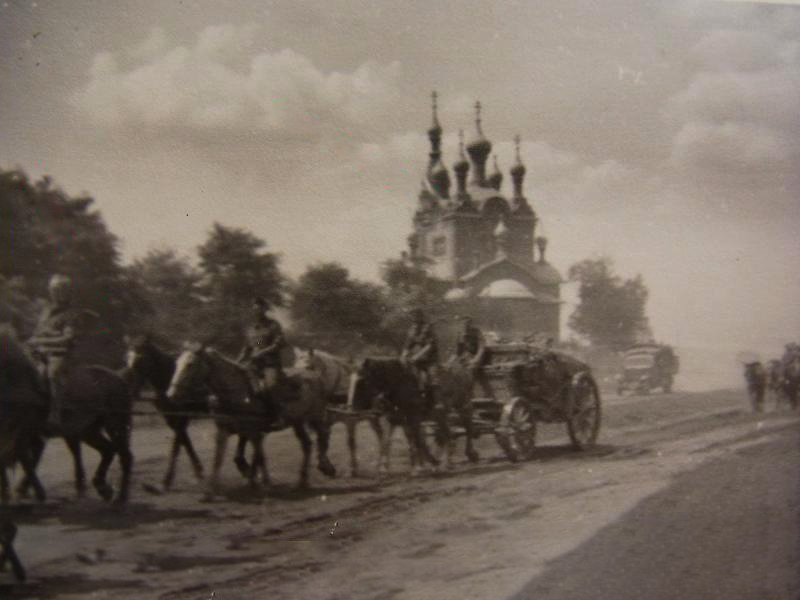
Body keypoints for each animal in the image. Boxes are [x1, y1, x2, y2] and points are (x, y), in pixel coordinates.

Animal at [167, 344, 336, 494]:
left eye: (190, 364)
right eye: (176, 363)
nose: (171, 394)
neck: (237, 392)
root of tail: (315, 376)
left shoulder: (254, 431)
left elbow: (259, 456)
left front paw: (264, 484)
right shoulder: (225, 430)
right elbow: (219, 459)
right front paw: (211, 491)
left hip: (316, 417)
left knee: (323, 436)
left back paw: (325, 466)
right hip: (297, 422)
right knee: (307, 444)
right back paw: (302, 482)